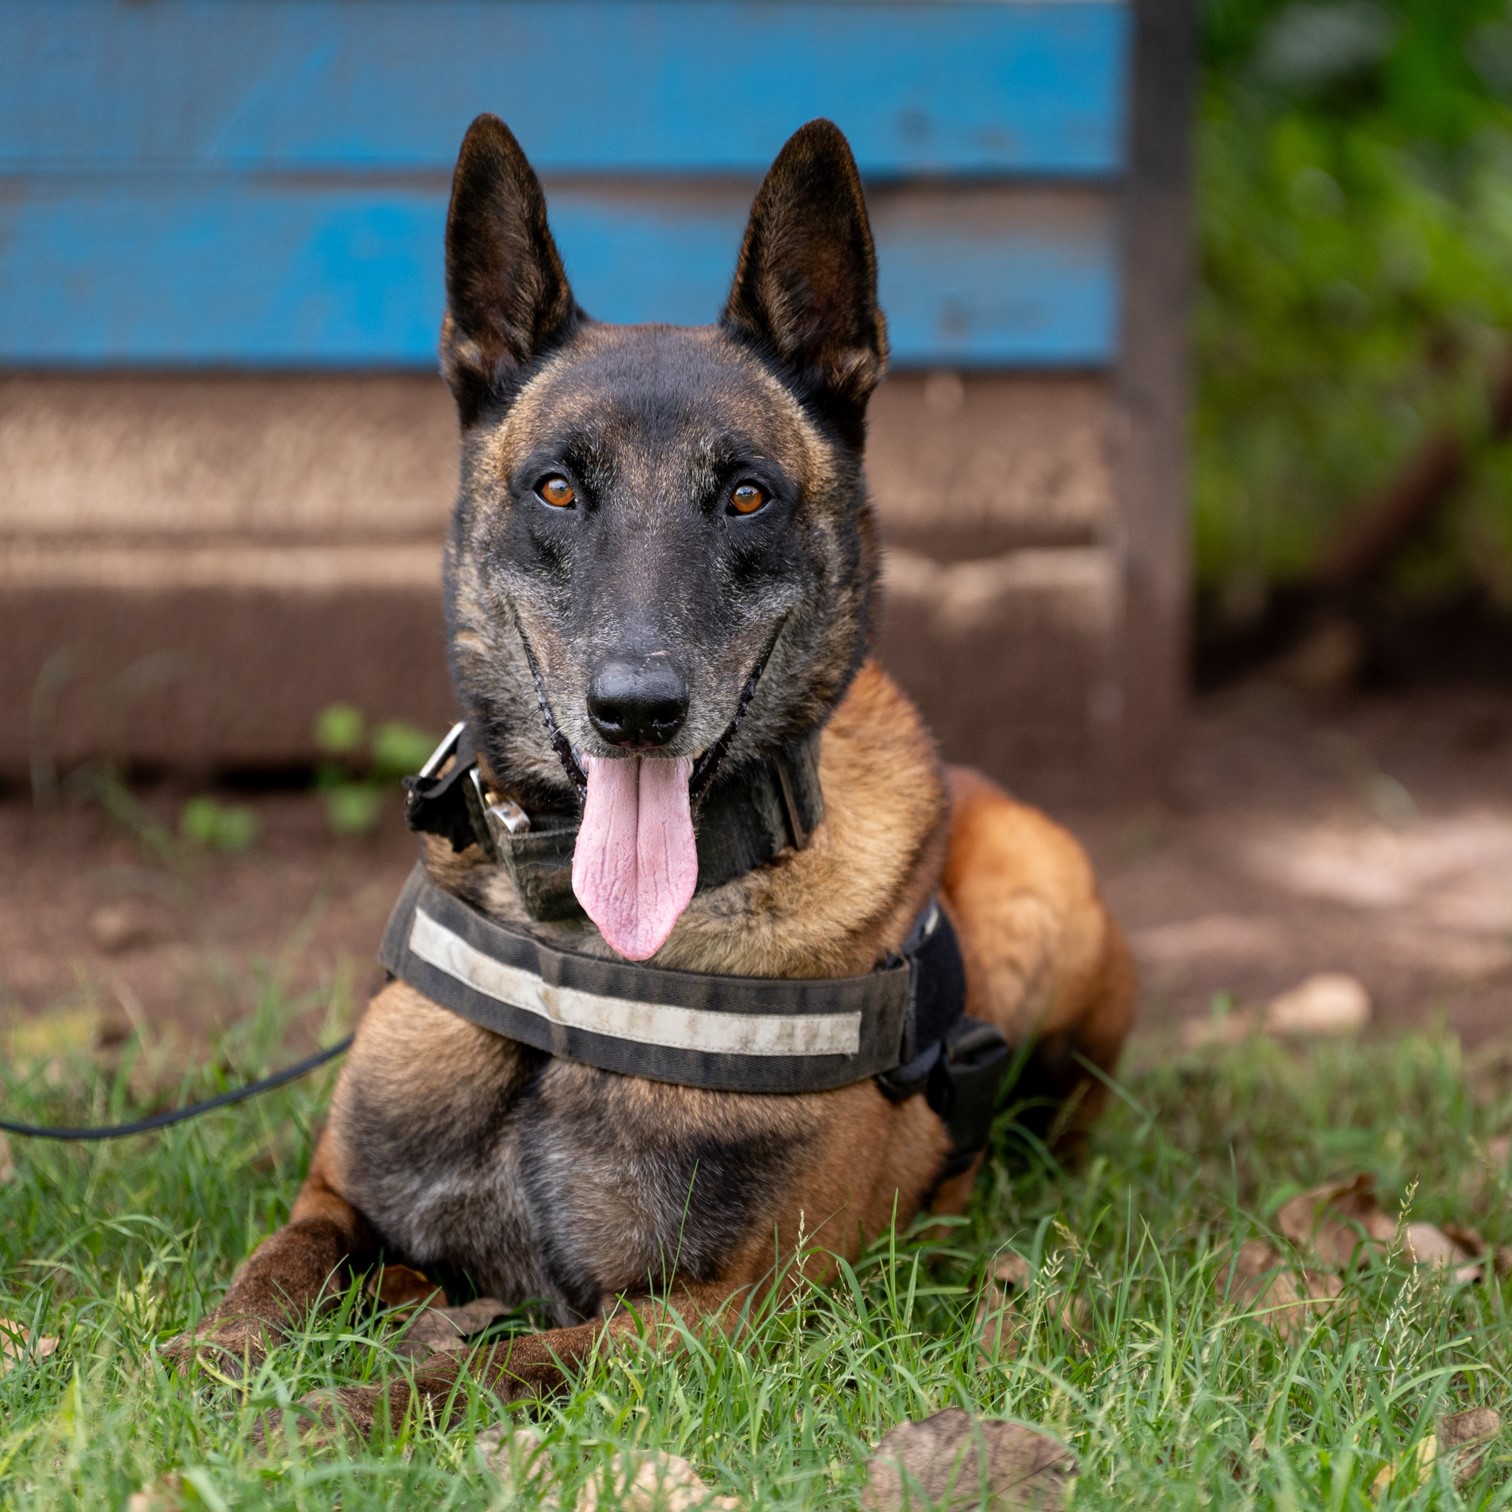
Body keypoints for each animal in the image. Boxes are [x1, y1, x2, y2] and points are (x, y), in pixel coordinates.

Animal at [165, 111, 1137, 1433]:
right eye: (557, 487)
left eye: (748, 495)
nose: (636, 712)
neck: (577, 950)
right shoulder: (345, 1209)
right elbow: (268, 1277)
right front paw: (189, 1375)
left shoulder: (707, 1321)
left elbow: (487, 1369)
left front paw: (328, 1420)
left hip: (1048, 900)